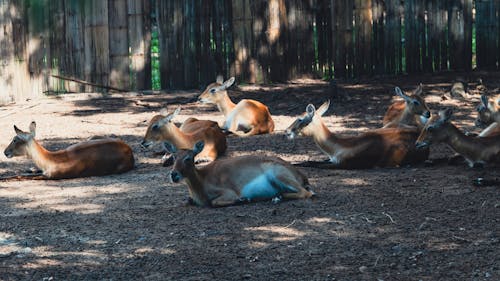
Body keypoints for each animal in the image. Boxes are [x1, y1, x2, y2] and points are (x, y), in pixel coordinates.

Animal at [2, 121, 135, 178]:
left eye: (15, 139)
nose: (5, 152)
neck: (52, 160)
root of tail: (129, 149)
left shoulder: (51, 176)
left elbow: (19, 176)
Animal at [164, 141, 312, 207]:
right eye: (174, 156)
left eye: (188, 158)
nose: (174, 174)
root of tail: (302, 176)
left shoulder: (228, 191)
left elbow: (214, 202)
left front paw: (243, 199)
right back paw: (277, 197)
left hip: (277, 173)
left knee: (306, 193)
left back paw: (276, 197)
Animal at [286, 100, 430, 168]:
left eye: (300, 118)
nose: (286, 131)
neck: (339, 147)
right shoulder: (332, 159)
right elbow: (309, 161)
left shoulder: (343, 164)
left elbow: (312, 164)